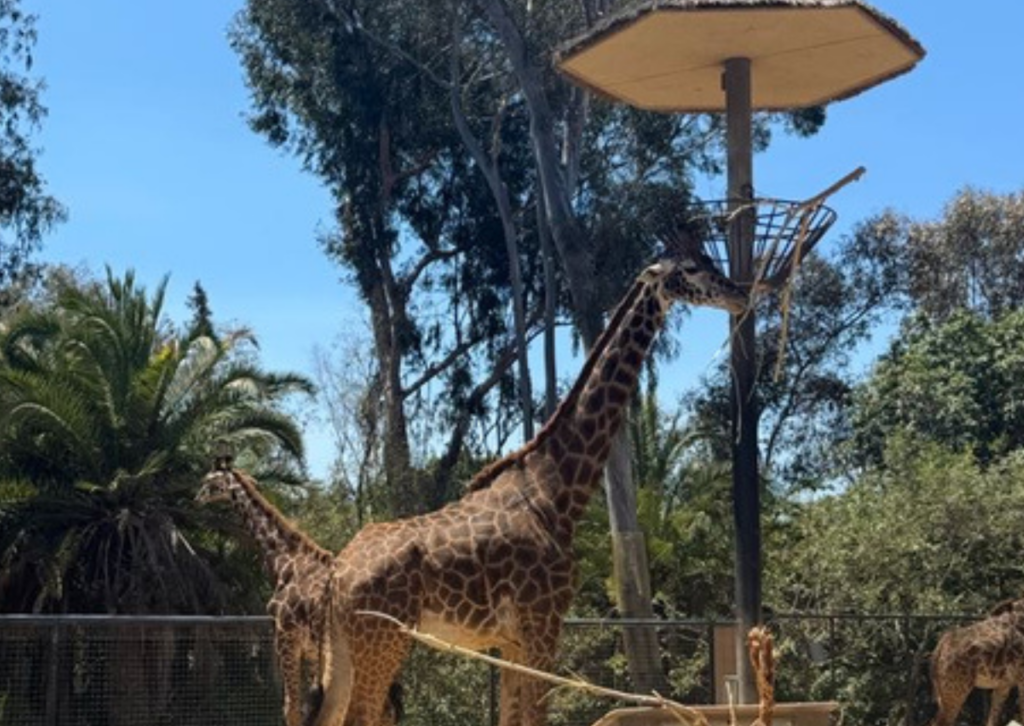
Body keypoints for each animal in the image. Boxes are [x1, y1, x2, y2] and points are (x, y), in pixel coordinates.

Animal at [197, 466, 401, 726]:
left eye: (209, 480)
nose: (196, 498)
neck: (285, 561)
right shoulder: (310, 648)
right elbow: (310, 706)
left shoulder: (285, 636)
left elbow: (292, 707)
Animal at [308, 245, 749, 726]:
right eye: (690, 269)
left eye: (711, 259)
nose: (740, 295)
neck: (557, 491)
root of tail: (337, 574)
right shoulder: (543, 624)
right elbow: (535, 716)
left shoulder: (512, 641)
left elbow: (511, 716)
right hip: (383, 642)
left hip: (345, 649)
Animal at [930, 597, 1024, 726]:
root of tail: (939, 648)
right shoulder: (1020, 677)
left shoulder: (1005, 684)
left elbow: (992, 719)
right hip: (956, 690)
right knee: (943, 721)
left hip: (943, 690)